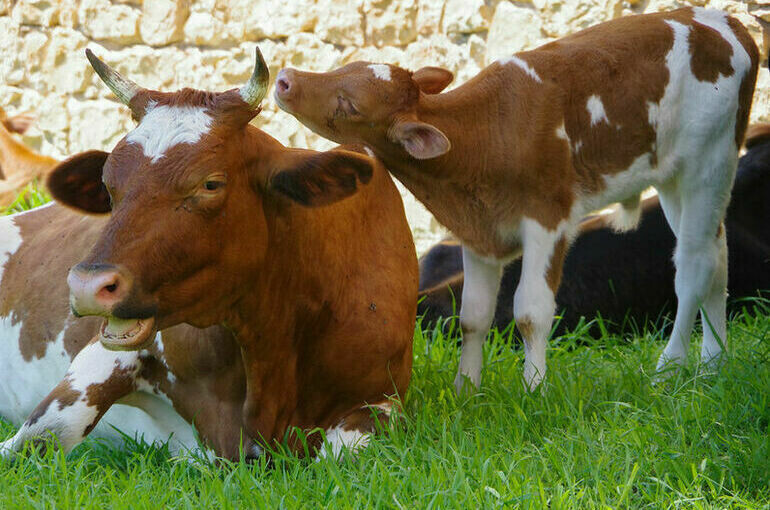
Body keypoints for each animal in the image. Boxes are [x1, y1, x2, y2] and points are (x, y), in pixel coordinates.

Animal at [1, 49, 420, 460]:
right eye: (108, 184)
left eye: (211, 183)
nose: (88, 285)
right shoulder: (105, 357)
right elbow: (42, 435)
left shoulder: (382, 400)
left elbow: (345, 450)